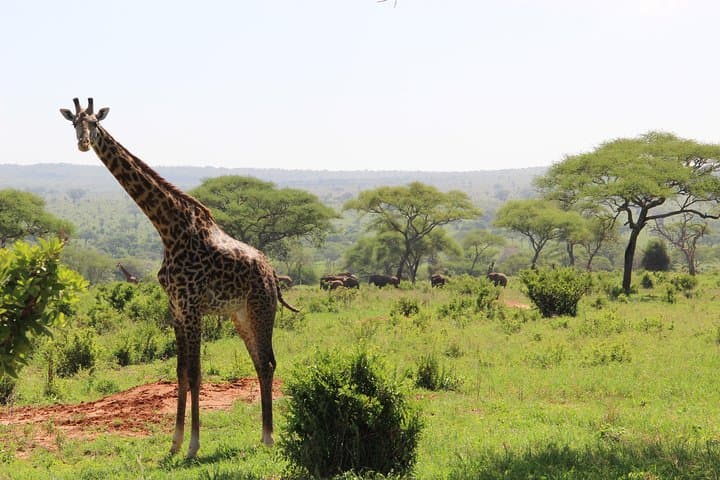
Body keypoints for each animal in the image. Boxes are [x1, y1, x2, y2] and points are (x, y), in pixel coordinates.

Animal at [60, 98, 298, 459]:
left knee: (269, 362)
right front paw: (174, 443)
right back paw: (263, 435)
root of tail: (271, 272)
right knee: (260, 363)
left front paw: (194, 446)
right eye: (74, 123)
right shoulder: (176, 308)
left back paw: (269, 437)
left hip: (261, 309)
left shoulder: (192, 306)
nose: (84, 143)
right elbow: (181, 373)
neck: (168, 229)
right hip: (240, 315)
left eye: (95, 124)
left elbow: (197, 374)